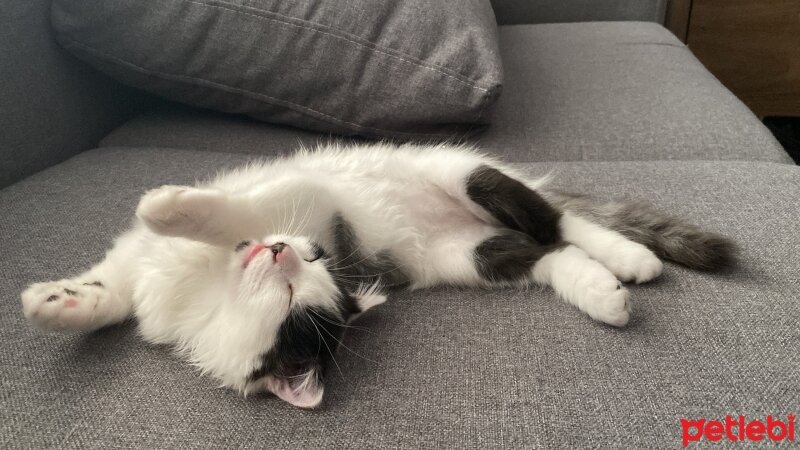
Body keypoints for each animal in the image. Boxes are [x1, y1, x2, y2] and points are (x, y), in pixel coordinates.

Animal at [18, 143, 736, 408]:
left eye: (309, 266)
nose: (282, 251)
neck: (209, 287)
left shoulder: (302, 201)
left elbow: (230, 213)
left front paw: (169, 205)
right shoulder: (139, 268)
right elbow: (112, 291)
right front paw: (57, 302)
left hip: (467, 174)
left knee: (557, 220)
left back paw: (630, 258)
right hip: (471, 255)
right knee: (546, 248)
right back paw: (603, 289)